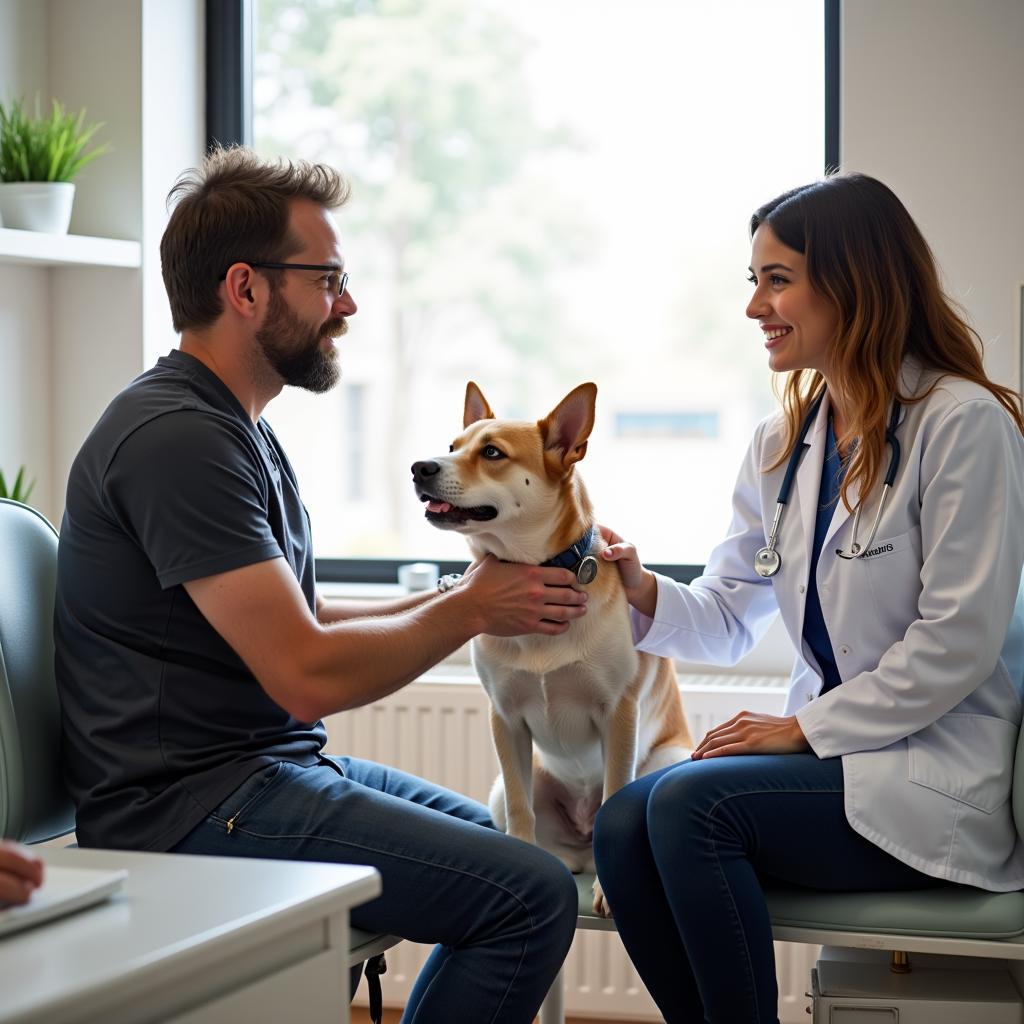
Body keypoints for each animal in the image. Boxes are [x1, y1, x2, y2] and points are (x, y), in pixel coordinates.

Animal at [411, 382, 692, 913]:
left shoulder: (618, 713)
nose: (420, 467)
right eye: (453, 446)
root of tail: (579, 846)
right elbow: (522, 808)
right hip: (500, 790)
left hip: (672, 760)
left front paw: (609, 889)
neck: (537, 572)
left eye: (492, 453)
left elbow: (614, 794)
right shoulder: (505, 719)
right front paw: (525, 860)